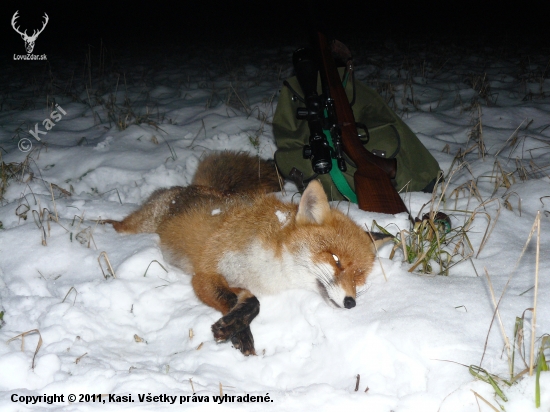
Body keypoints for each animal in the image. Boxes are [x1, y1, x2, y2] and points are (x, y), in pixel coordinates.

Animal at [109, 151, 392, 354]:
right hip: (140, 225)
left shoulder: (240, 282)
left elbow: (250, 302)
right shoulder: (205, 273)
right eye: (335, 260)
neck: (272, 267)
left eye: (358, 276)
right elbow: (246, 301)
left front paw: (235, 328)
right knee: (116, 225)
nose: (351, 302)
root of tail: (193, 187)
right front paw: (237, 332)